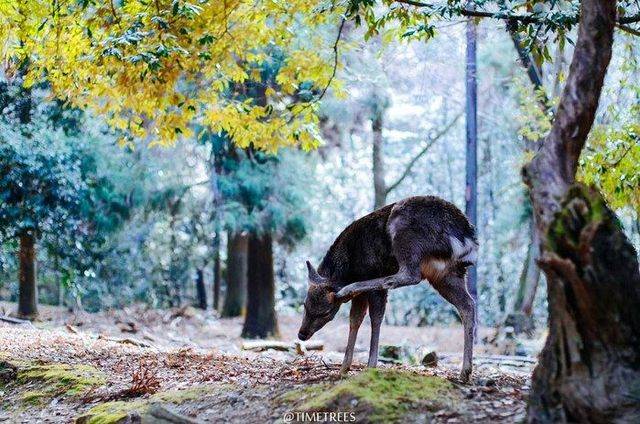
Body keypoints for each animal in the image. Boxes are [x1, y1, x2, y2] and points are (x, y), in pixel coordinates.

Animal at [298, 195, 478, 380]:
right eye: (304, 305)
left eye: (326, 312)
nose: (302, 334)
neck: (349, 268)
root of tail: (466, 239)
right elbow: (355, 319)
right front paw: (343, 369)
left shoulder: (370, 276)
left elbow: (375, 317)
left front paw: (370, 366)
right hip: (446, 275)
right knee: (468, 304)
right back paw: (465, 372)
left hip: (405, 235)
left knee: (408, 275)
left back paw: (349, 288)